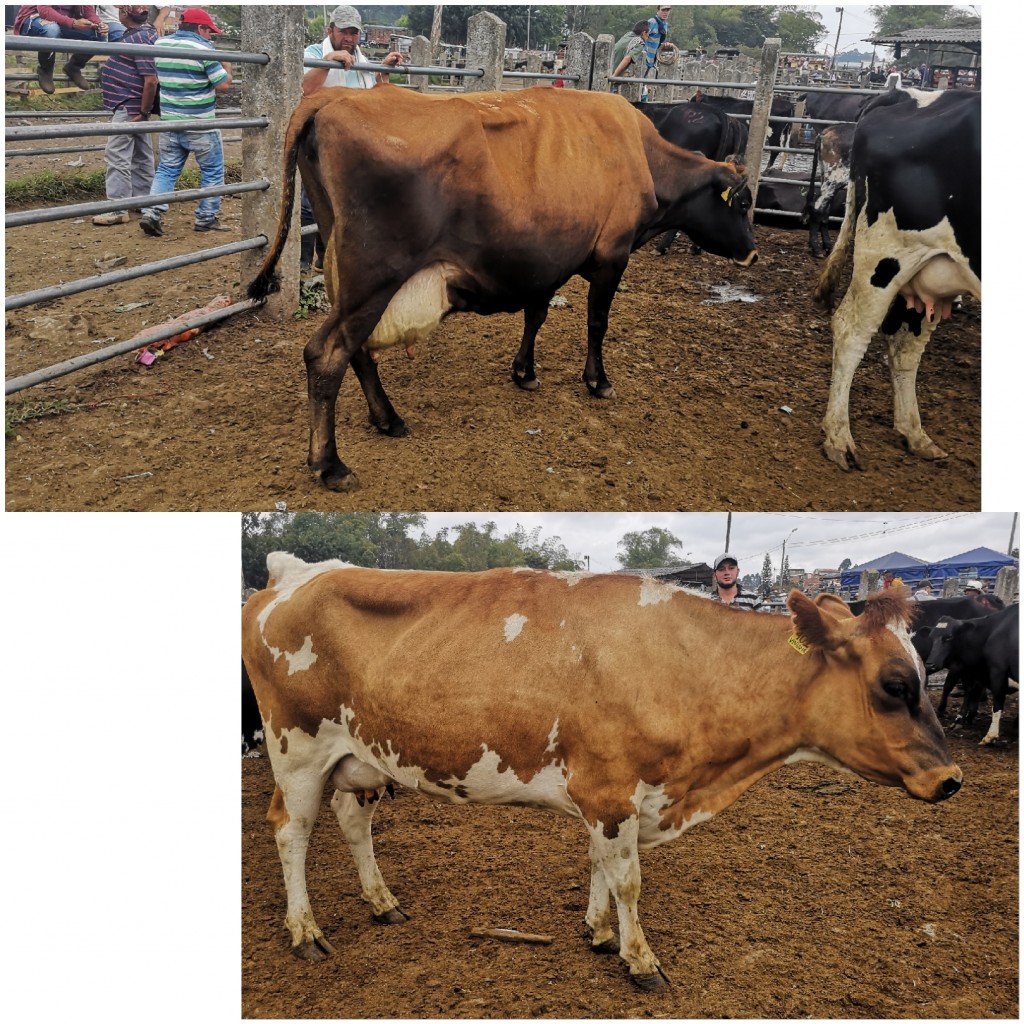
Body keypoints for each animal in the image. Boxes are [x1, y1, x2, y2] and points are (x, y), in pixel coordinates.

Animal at [242, 553, 961, 990]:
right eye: (896, 684)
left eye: (920, 673)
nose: (951, 778)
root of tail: (295, 571)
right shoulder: (613, 792)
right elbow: (630, 880)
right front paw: (639, 959)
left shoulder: (605, 794)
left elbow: (598, 865)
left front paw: (596, 932)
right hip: (296, 749)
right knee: (290, 831)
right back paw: (305, 932)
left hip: (360, 756)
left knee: (352, 821)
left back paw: (382, 902)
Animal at [246, 87, 757, 492]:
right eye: (742, 203)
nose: (752, 254)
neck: (642, 154)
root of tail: (334, 95)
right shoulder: (613, 255)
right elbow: (597, 322)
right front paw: (598, 380)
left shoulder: (544, 260)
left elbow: (536, 315)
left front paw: (524, 372)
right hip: (373, 277)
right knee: (327, 354)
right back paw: (330, 465)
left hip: (347, 274)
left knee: (357, 352)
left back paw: (388, 419)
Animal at [813, 88, 981, 470]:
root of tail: (901, 94)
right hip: (888, 256)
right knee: (850, 330)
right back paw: (839, 438)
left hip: (933, 271)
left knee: (906, 346)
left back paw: (913, 433)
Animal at [926, 605, 1020, 745]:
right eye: (931, 637)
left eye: (949, 637)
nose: (929, 664)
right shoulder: (969, 670)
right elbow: (970, 692)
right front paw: (963, 717)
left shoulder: (997, 670)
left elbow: (997, 702)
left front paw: (991, 735)